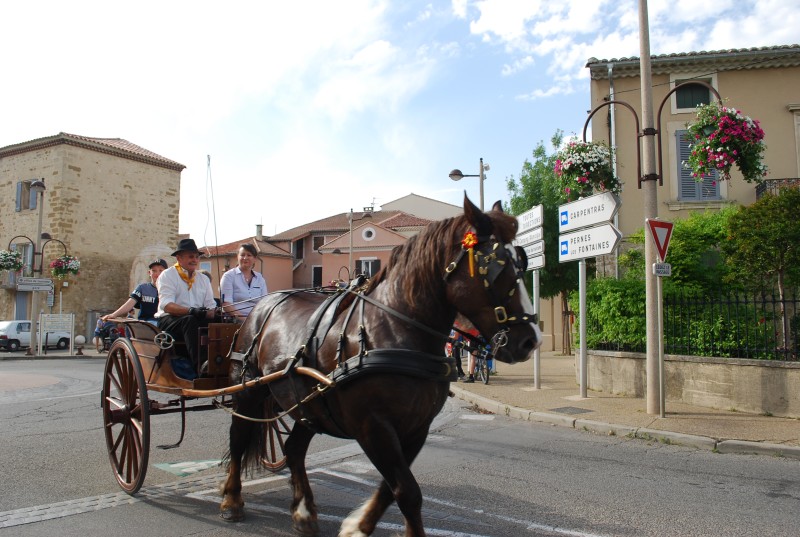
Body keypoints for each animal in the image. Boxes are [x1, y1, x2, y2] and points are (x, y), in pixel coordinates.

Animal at [222, 195, 540, 532]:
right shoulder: (373, 427)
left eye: (521, 263)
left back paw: (304, 511)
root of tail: (263, 305)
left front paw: (358, 525)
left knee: (294, 449)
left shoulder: (417, 428)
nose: (530, 340)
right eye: (495, 267)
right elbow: (408, 492)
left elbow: (393, 489)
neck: (394, 329)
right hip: (250, 392)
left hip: (310, 406)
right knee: (239, 438)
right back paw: (232, 499)